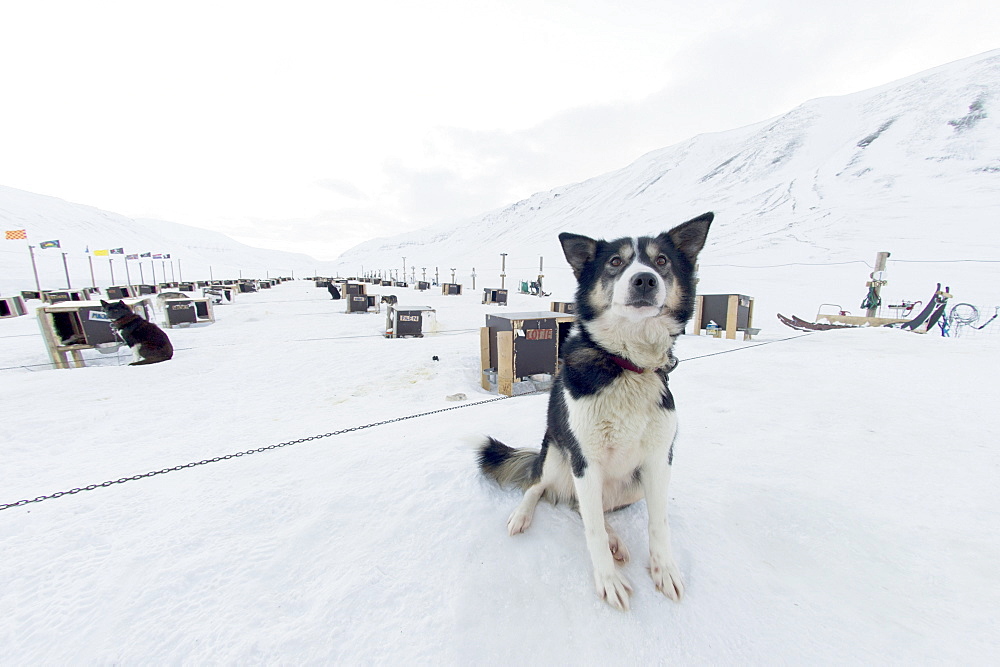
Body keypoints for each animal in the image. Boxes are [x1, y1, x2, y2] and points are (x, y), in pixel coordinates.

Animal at [476, 213, 712, 612]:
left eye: (661, 261)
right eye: (615, 262)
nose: (645, 279)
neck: (627, 365)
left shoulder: (659, 460)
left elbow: (658, 523)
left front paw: (664, 570)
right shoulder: (585, 459)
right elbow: (592, 530)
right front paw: (608, 580)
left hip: (631, 485)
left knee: (585, 508)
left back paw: (616, 538)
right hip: (558, 456)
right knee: (541, 488)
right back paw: (523, 516)